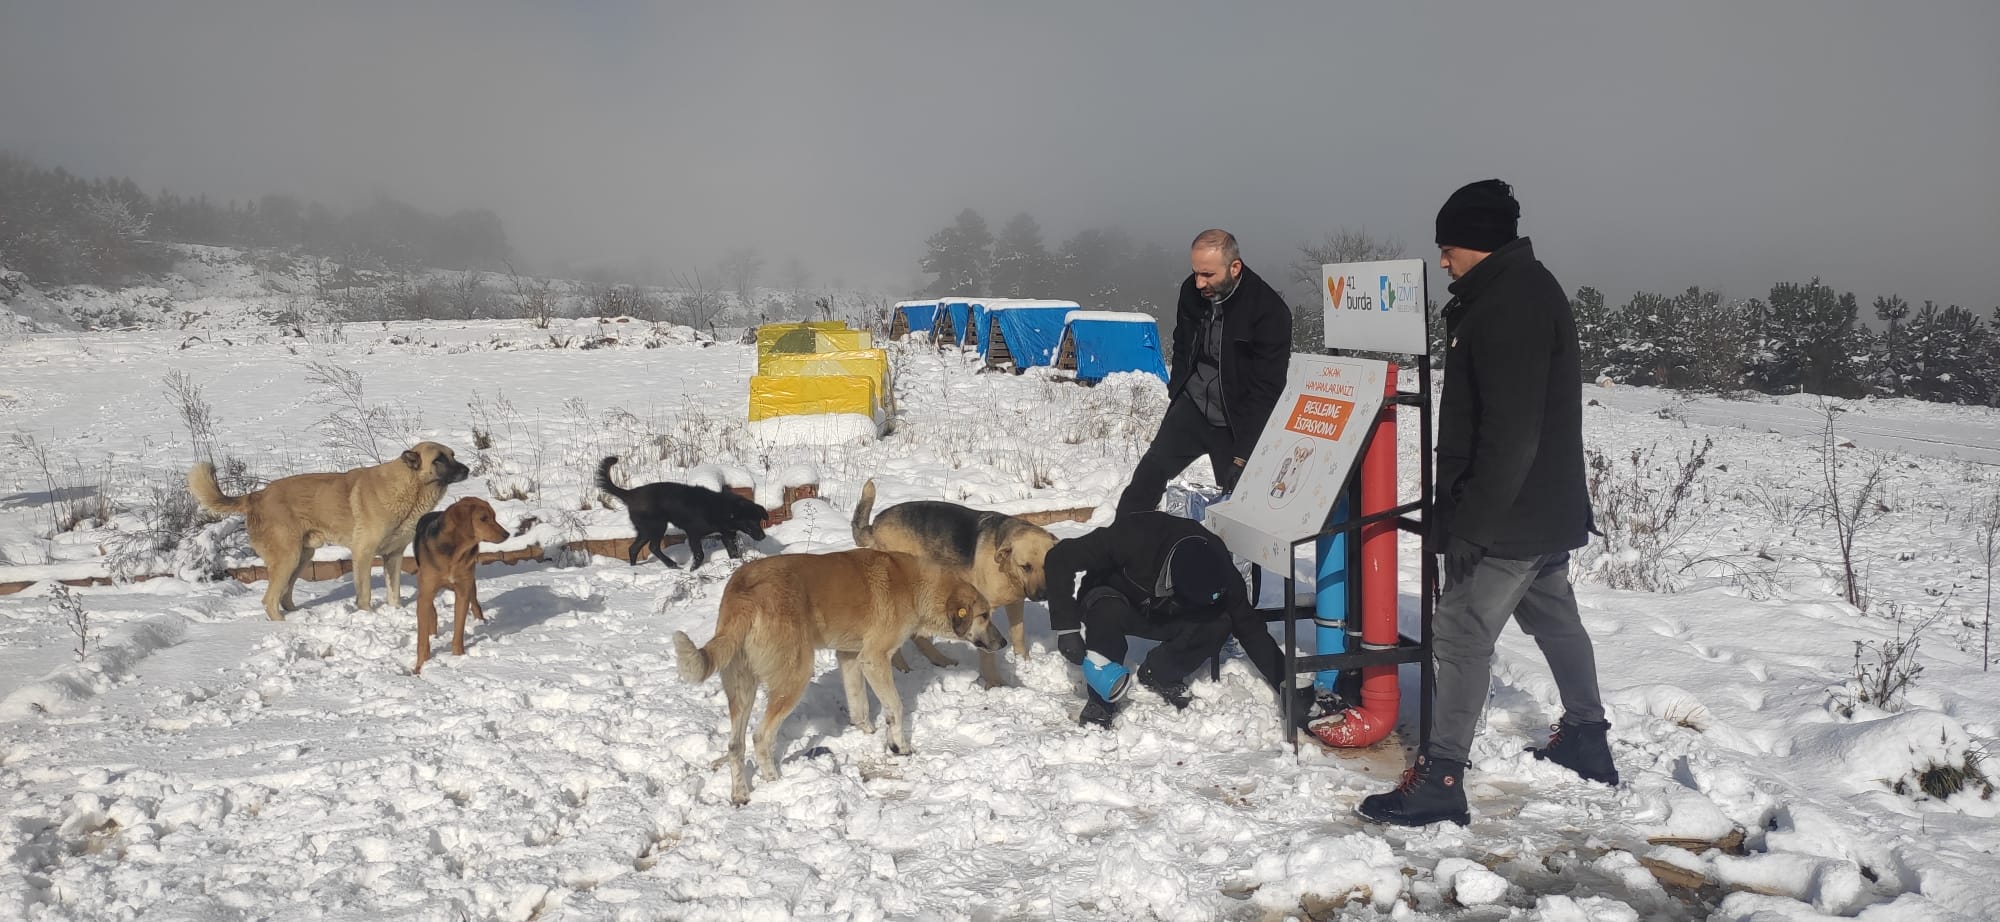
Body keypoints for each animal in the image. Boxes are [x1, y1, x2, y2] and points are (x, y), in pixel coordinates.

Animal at [188, 438, 468, 620]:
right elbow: (364, 594)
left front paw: (395, 613)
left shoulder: (394, 555)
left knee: (285, 595)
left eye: (453, 454)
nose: (467, 469)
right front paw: (367, 617)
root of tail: (256, 495)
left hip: (303, 556)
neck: (409, 487)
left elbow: (394, 592)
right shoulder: (364, 554)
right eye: (440, 459)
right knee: (269, 600)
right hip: (288, 557)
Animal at [410, 500, 508, 672]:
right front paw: (420, 667)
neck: (455, 553)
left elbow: (458, 630)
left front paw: (458, 658)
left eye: (494, 517)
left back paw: (480, 621)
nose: (507, 534)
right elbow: (422, 641)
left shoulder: (463, 591)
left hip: (471, 583)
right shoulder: (426, 592)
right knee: (431, 611)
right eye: (483, 518)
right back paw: (433, 632)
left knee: (476, 605)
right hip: (423, 583)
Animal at [588, 454, 768, 564]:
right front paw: (694, 569)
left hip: (646, 530)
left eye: (758, 520)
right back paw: (671, 564)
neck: (723, 509)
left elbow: (733, 552)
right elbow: (699, 554)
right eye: (749, 521)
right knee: (653, 547)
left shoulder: (727, 535)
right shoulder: (693, 533)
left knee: (633, 549)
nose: (763, 536)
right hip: (656, 526)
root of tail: (631, 493)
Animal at [680, 548, 1008, 800]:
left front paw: (869, 734)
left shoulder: (850, 657)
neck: (915, 587)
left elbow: (858, 706)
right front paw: (899, 746)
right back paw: (775, 783)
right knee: (761, 737)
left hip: (741, 687)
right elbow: (895, 706)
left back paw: (740, 794)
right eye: (984, 616)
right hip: (794, 678)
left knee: (735, 745)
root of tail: (744, 592)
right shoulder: (875, 659)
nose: (1003, 643)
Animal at [848, 478, 1064, 688]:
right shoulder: (984, 610)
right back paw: (905, 669)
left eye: (1047, 565)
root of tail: (875, 525)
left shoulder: (1016, 603)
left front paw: (1025, 663)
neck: (1006, 569)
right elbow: (987, 649)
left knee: (919, 636)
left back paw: (940, 661)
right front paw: (995, 683)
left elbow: (1018, 635)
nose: (1043, 595)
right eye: (1025, 567)